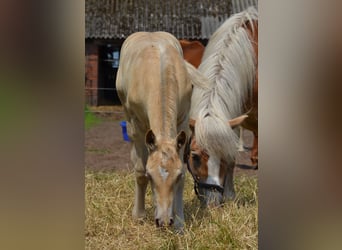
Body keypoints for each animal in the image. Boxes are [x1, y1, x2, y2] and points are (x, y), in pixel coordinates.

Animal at [116, 31, 194, 230]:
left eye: (177, 176)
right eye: (151, 176)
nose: (164, 221)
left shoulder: (182, 122)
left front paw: (179, 223)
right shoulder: (138, 126)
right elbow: (139, 171)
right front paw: (139, 216)